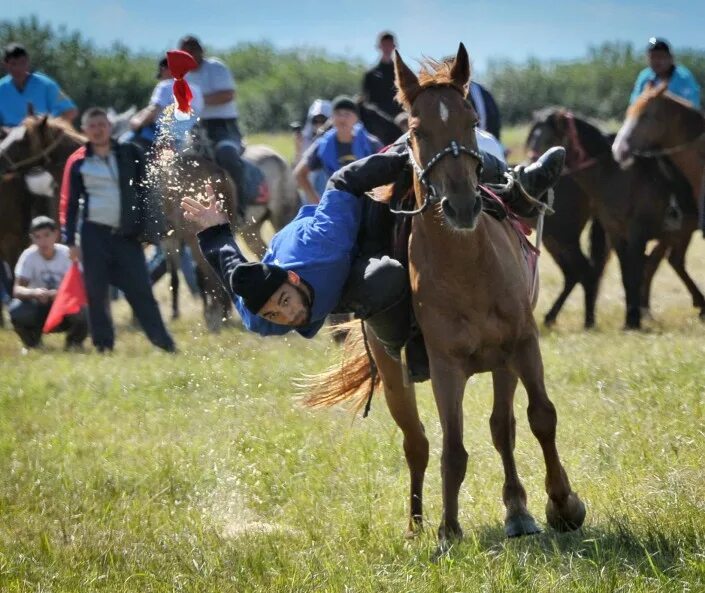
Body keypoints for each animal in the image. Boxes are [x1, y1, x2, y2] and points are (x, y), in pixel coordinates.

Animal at [302, 44, 584, 552]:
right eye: (416, 130)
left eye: (472, 120)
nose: (462, 204)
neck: (468, 270)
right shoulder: (445, 367)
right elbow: (452, 448)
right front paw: (448, 530)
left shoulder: (523, 343)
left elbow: (540, 417)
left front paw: (563, 504)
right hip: (394, 373)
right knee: (417, 443)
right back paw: (415, 524)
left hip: (502, 362)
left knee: (503, 429)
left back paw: (517, 511)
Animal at [524, 107, 700, 328]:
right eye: (532, 139)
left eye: (549, 141)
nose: (531, 175)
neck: (614, 175)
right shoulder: (616, 234)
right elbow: (627, 275)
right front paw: (630, 320)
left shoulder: (637, 234)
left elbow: (634, 273)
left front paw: (633, 320)